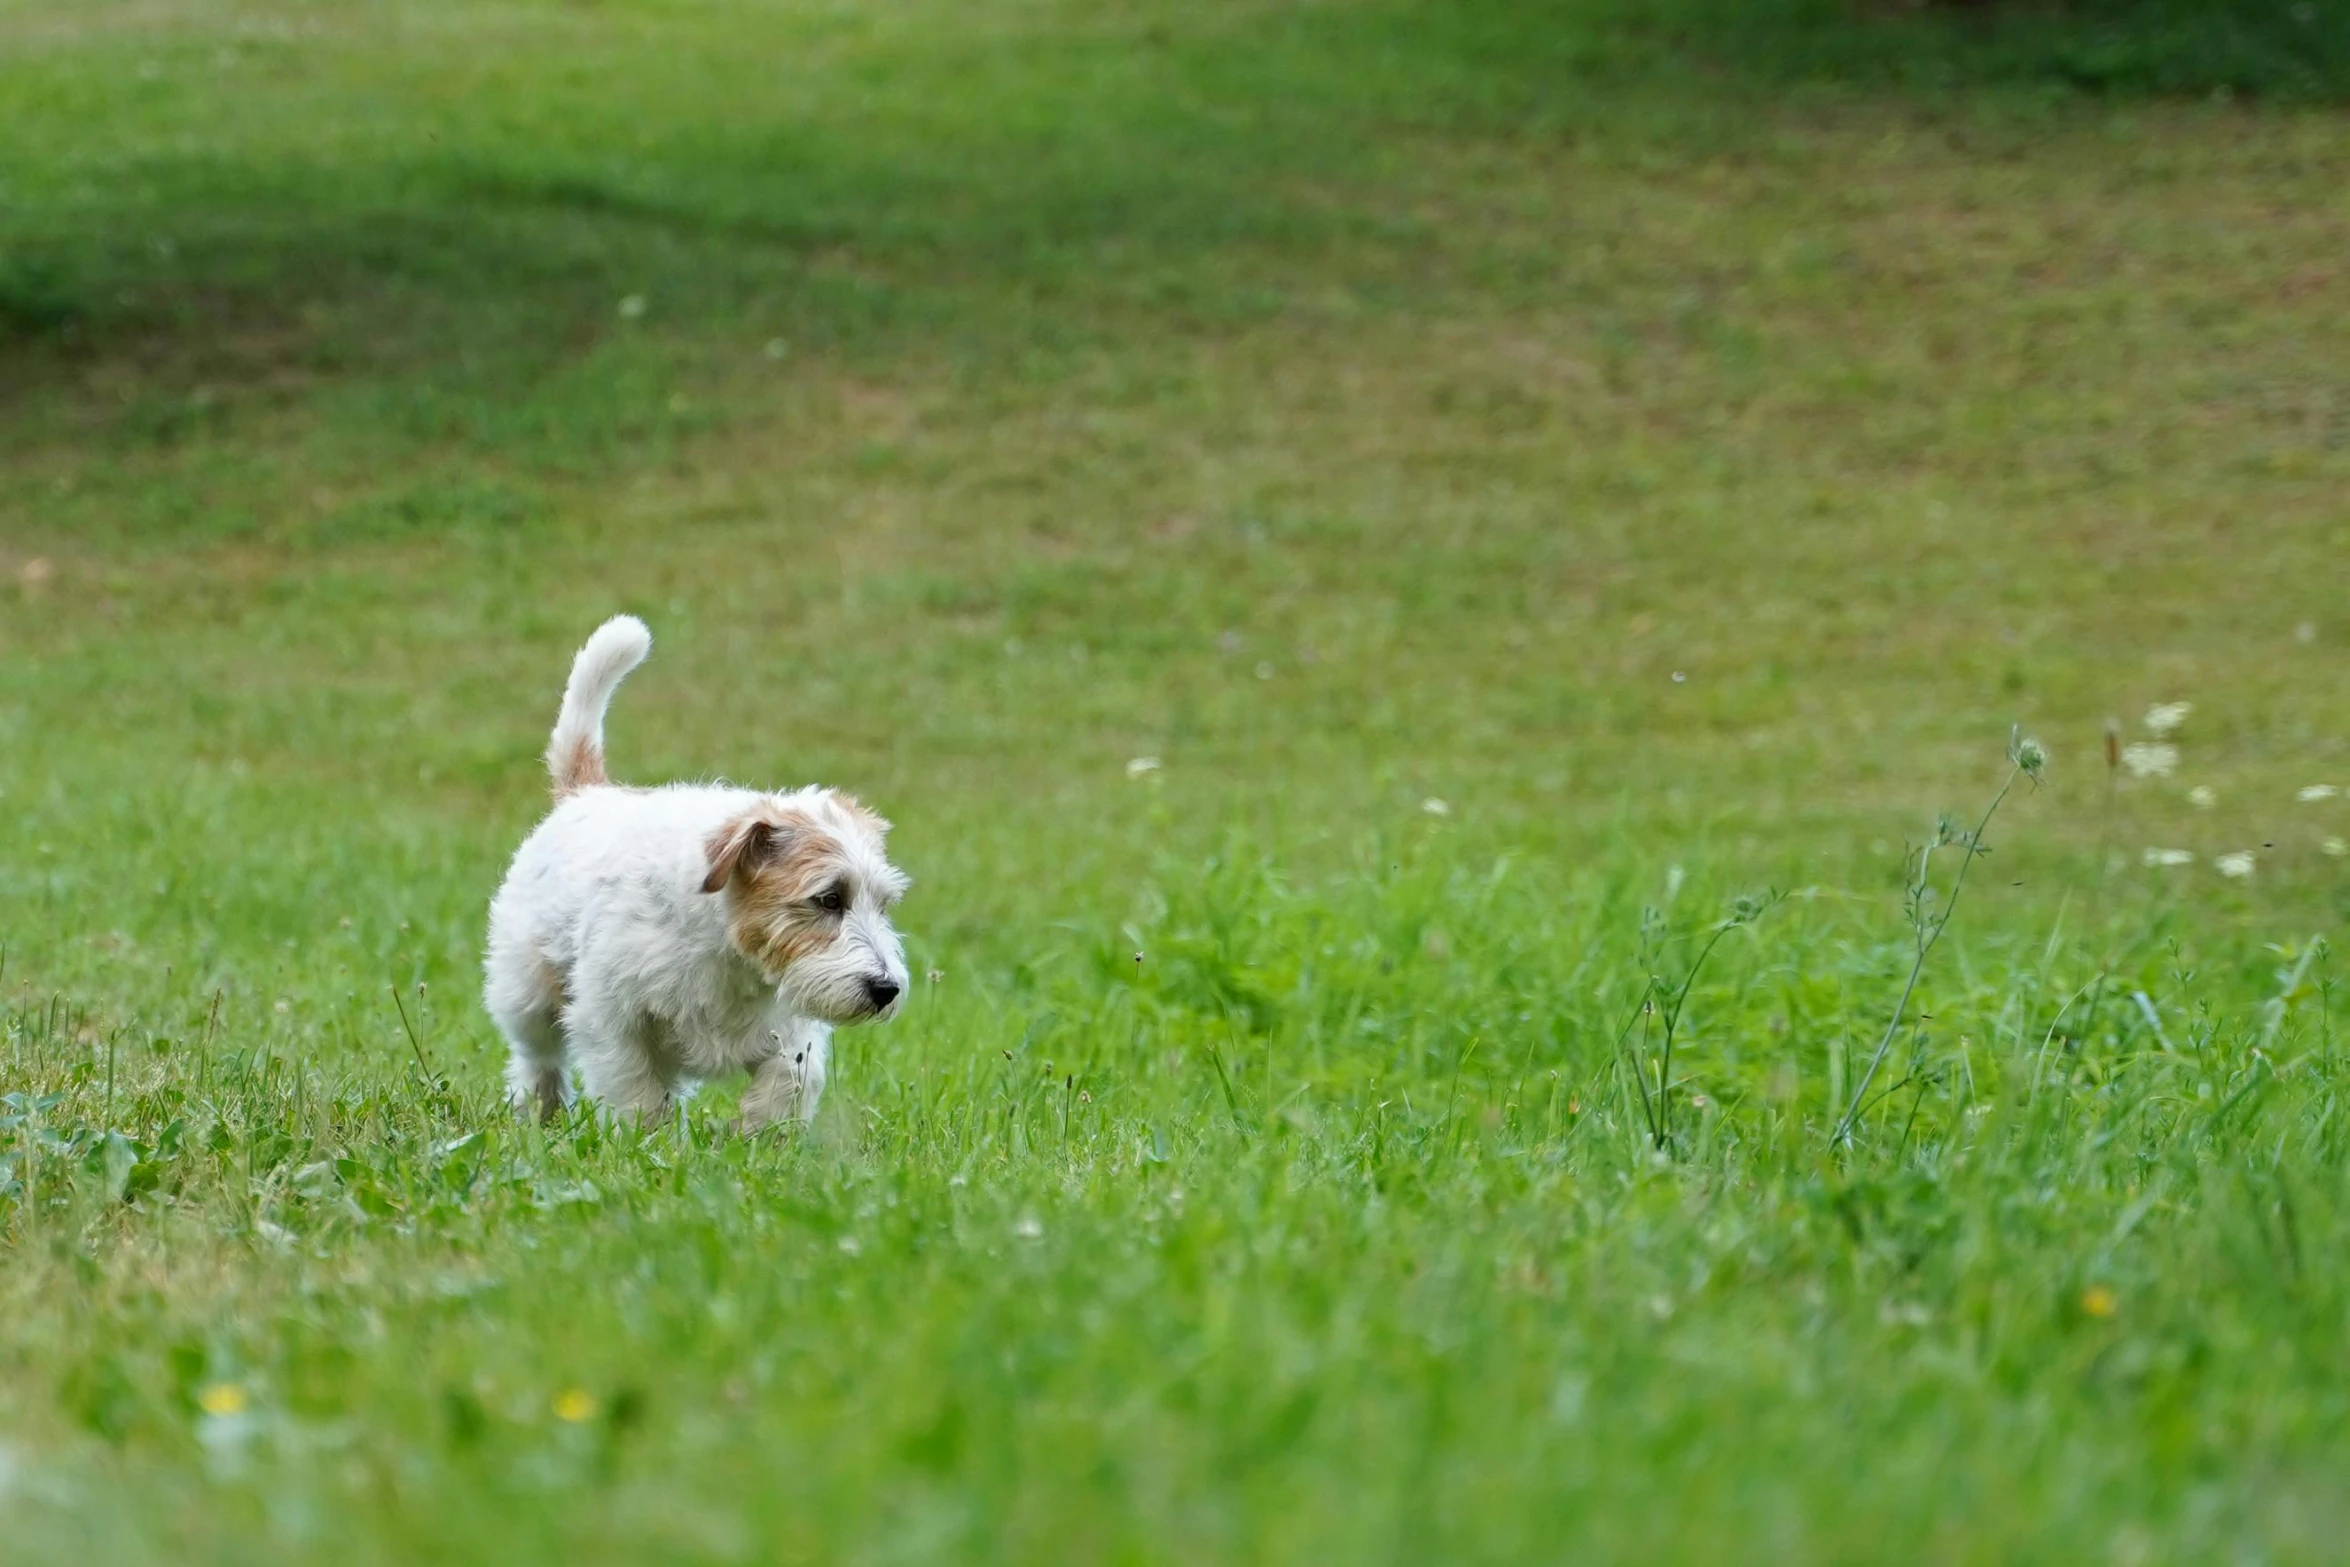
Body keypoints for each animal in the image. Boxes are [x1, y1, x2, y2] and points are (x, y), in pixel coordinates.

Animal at [481, 620, 902, 1132]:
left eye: (883, 904)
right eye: (828, 898)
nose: (886, 989)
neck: (727, 951)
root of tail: (586, 792)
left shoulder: (789, 1027)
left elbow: (792, 1075)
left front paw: (762, 1132)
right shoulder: (613, 1021)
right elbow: (636, 1091)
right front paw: (646, 1140)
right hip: (528, 996)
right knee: (537, 1058)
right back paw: (540, 1111)